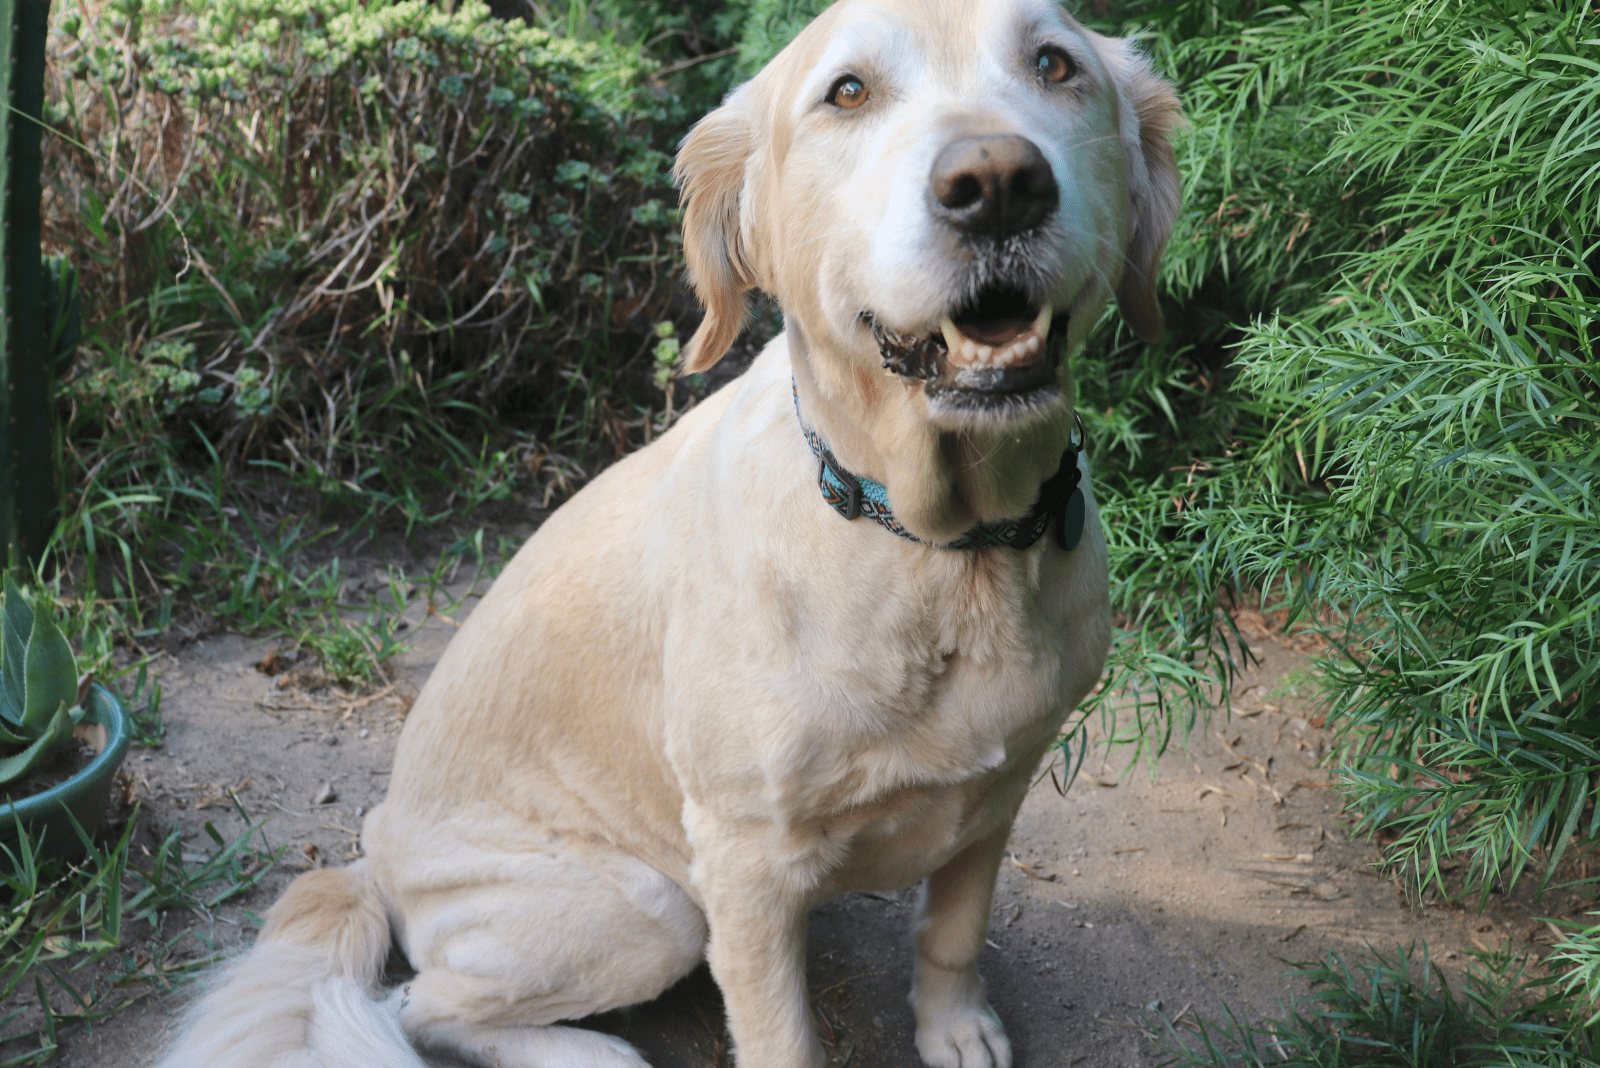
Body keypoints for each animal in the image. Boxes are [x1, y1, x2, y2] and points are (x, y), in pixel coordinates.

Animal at [152, 4, 1177, 1061]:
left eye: (1054, 64)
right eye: (847, 92)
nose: (998, 184)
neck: (934, 545)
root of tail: (374, 852)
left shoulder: (997, 793)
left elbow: (952, 933)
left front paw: (955, 1027)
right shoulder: (745, 865)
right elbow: (781, 1037)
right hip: (649, 908)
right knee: (409, 1009)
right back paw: (589, 1050)